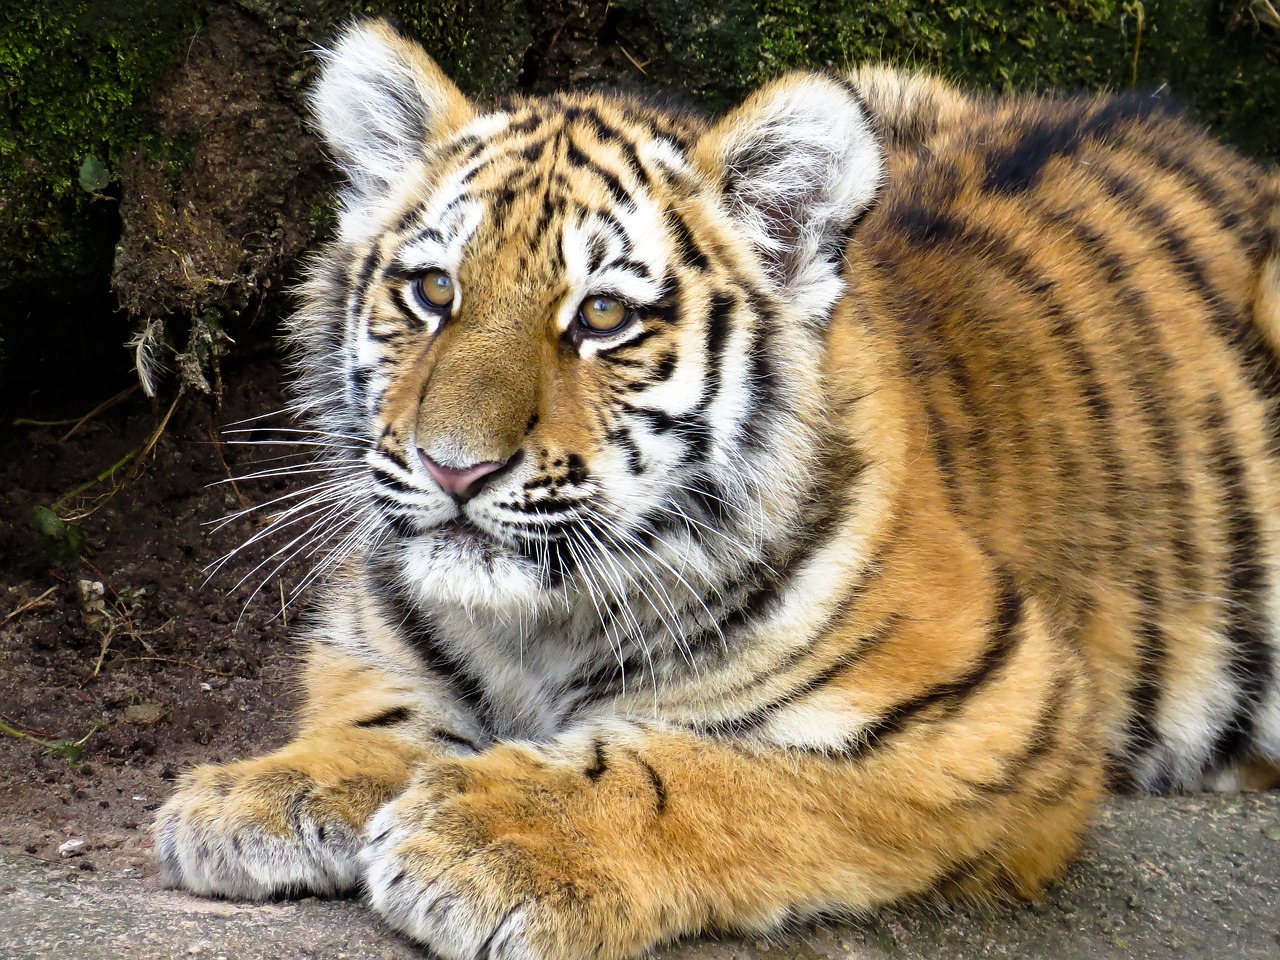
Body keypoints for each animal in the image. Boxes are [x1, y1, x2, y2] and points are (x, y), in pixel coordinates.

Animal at [154, 15, 1280, 960]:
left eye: (603, 317)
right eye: (432, 292)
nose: (452, 465)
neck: (537, 628)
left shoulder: (997, 711)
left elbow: (708, 769)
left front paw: (493, 836)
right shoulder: (372, 636)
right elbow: (378, 714)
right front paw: (260, 792)